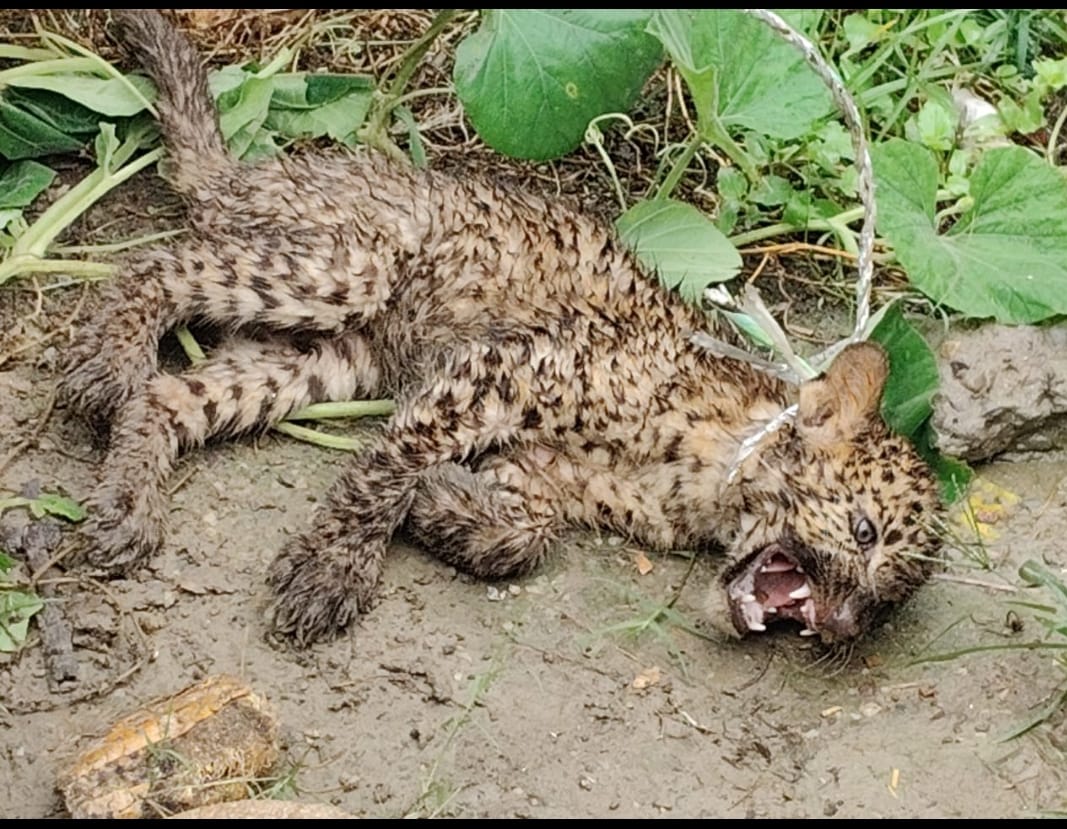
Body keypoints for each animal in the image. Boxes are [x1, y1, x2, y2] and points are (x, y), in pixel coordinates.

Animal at [59, 9, 942, 647]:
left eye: (886, 605)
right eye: (863, 531)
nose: (840, 625)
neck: (714, 472)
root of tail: (255, 172)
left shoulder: (538, 468)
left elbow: (524, 532)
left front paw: (442, 507)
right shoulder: (499, 370)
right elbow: (386, 468)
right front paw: (333, 567)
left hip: (329, 361)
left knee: (171, 395)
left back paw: (124, 507)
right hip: (354, 263)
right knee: (162, 267)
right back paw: (105, 363)